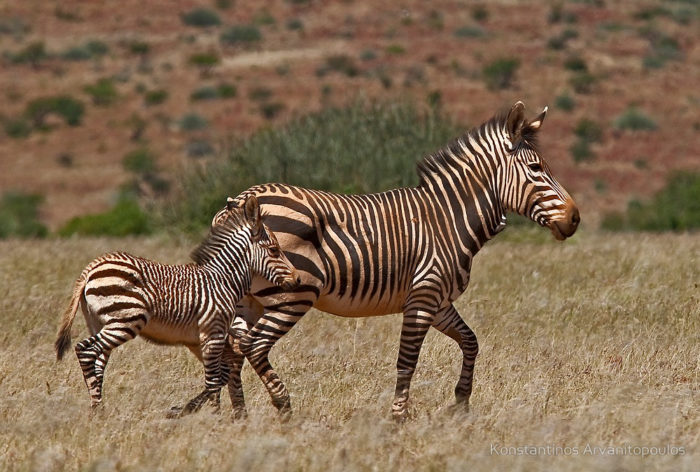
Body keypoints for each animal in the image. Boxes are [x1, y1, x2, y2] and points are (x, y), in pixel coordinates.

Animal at [52, 197, 298, 414]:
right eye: (274, 250)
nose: (297, 280)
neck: (223, 279)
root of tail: (93, 266)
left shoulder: (198, 340)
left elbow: (221, 377)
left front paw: (211, 416)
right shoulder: (213, 332)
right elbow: (213, 381)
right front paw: (189, 414)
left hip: (99, 321)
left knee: (97, 361)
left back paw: (97, 410)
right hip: (125, 320)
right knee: (85, 350)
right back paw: (97, 410)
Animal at [215, 101, 580, 418]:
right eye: (536, 169)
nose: (575, 219)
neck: (447, 220)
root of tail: (243, 200)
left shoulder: (439, 301)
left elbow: (470, 342)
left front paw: (461, 403)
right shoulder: (423, 296)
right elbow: (408, 361)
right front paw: (398, 418)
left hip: (248, 298)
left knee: (233, 348)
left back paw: (238, 417)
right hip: (292, 294)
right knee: (254, 346)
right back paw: (284, 407)